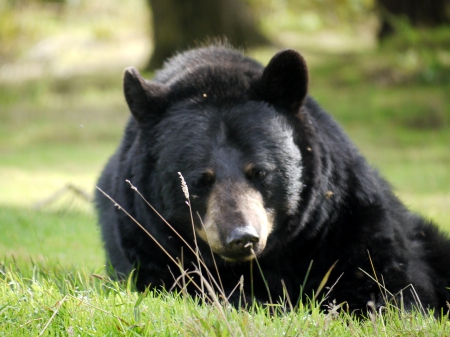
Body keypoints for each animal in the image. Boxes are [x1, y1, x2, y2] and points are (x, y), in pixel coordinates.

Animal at [96, 44, 450, 312]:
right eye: (200, 180)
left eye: (261, 172)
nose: (242, 237)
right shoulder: (146, 238)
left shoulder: (345, 216)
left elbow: (387, 278)